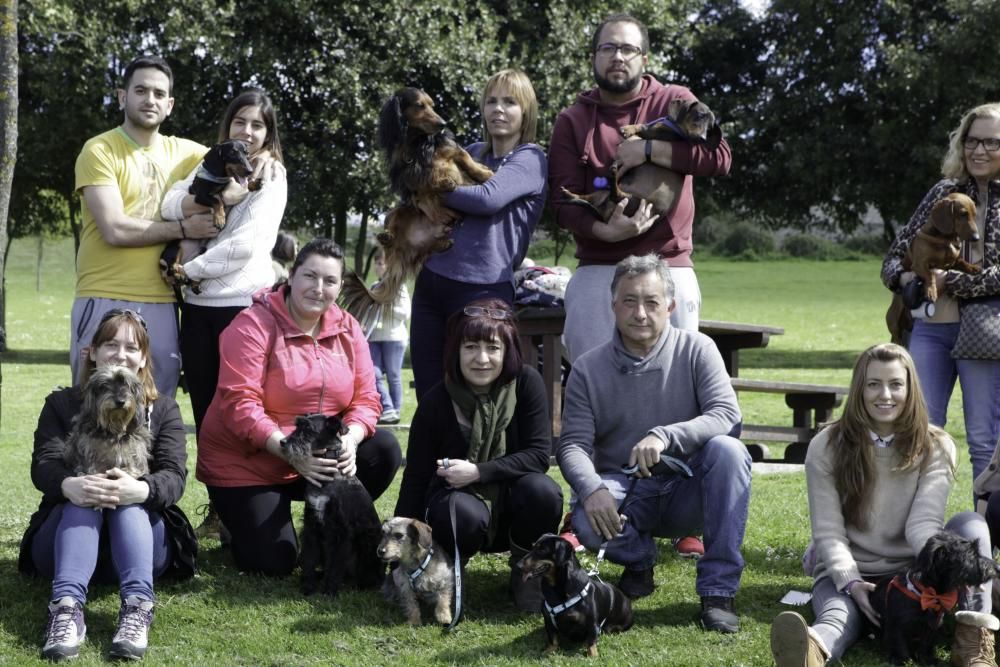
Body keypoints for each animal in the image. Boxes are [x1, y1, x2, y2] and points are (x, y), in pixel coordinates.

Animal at [280, 414, 384, 596]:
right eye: (297, 425)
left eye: (308, 428)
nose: (283, 442)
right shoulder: (311, 525)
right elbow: (309, 557)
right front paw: (308, 586)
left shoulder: (341, 531)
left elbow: (335, 564)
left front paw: (329, 590)